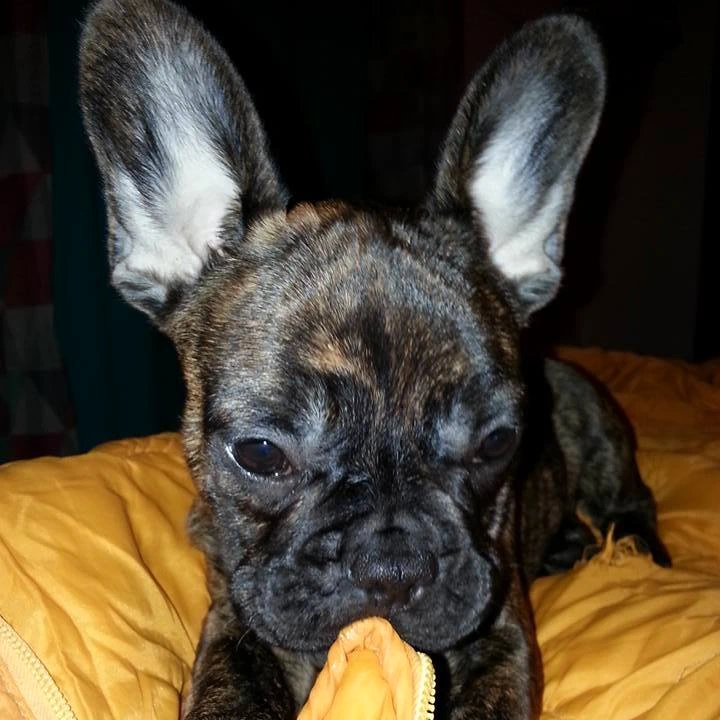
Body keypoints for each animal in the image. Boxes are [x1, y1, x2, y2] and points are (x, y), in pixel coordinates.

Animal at [79, 1, 671, 717]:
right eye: (259, 454)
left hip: (594, 425)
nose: (393, 566)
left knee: (630, 499)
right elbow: (228, 683)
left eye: (497, 443)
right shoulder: (234, 615)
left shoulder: (499, 627)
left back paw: (631, 549)